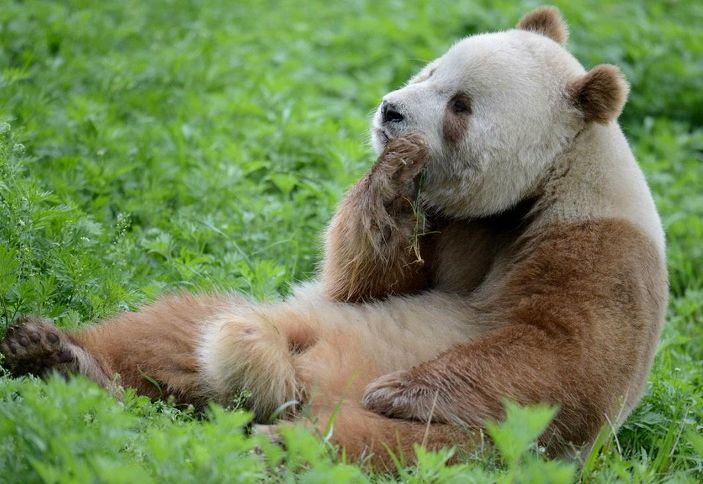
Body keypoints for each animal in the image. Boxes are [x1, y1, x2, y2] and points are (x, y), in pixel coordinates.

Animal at [1, 6, 667, 469]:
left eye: (461, 104)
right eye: (431, 69)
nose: (391, 111)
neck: (536, 187)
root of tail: (295, 389)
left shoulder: (598, 246)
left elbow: (561, 354)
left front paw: (402, 389)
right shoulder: (448, 224)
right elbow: (364, 282)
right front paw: (390, 176)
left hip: (480, 439)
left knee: (391, 446)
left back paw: (275, 445)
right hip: (293, 319)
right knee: (173, 329)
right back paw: (56, 356)